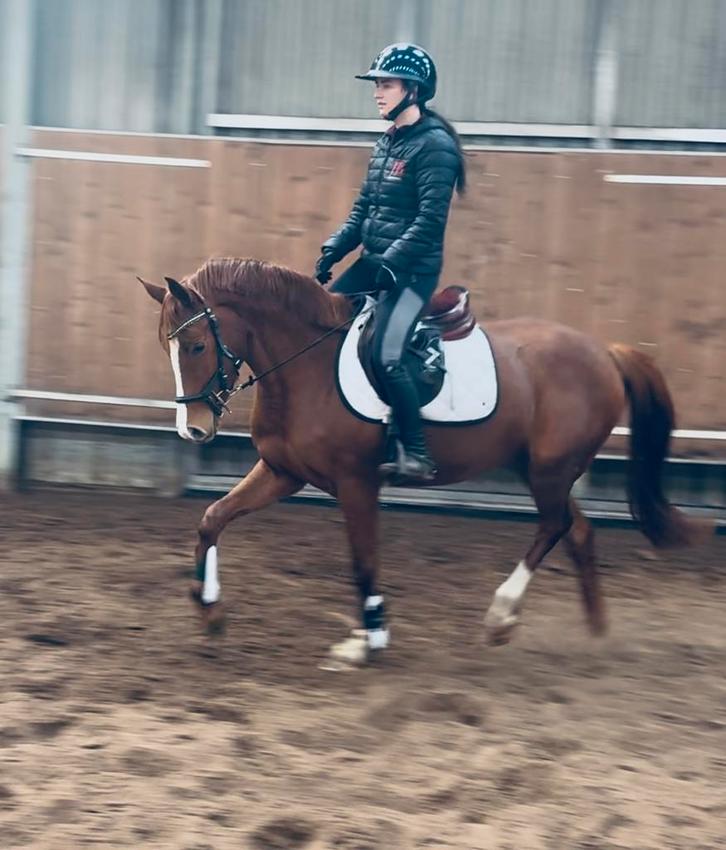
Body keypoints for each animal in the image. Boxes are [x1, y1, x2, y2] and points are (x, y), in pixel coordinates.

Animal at [139, 257, 701, 665]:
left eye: (195, 345)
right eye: (166, 347)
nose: (193, 430)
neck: (307, 366)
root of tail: (604, 351)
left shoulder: (356, 483)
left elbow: (363, 560)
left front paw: (369, 641)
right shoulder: (283, 473)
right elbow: (213, 518)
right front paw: (209, 611)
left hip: (549, 469)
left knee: (555, 525)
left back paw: (501, 615)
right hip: (544, 469)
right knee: (576, 530)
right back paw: (594, 632)